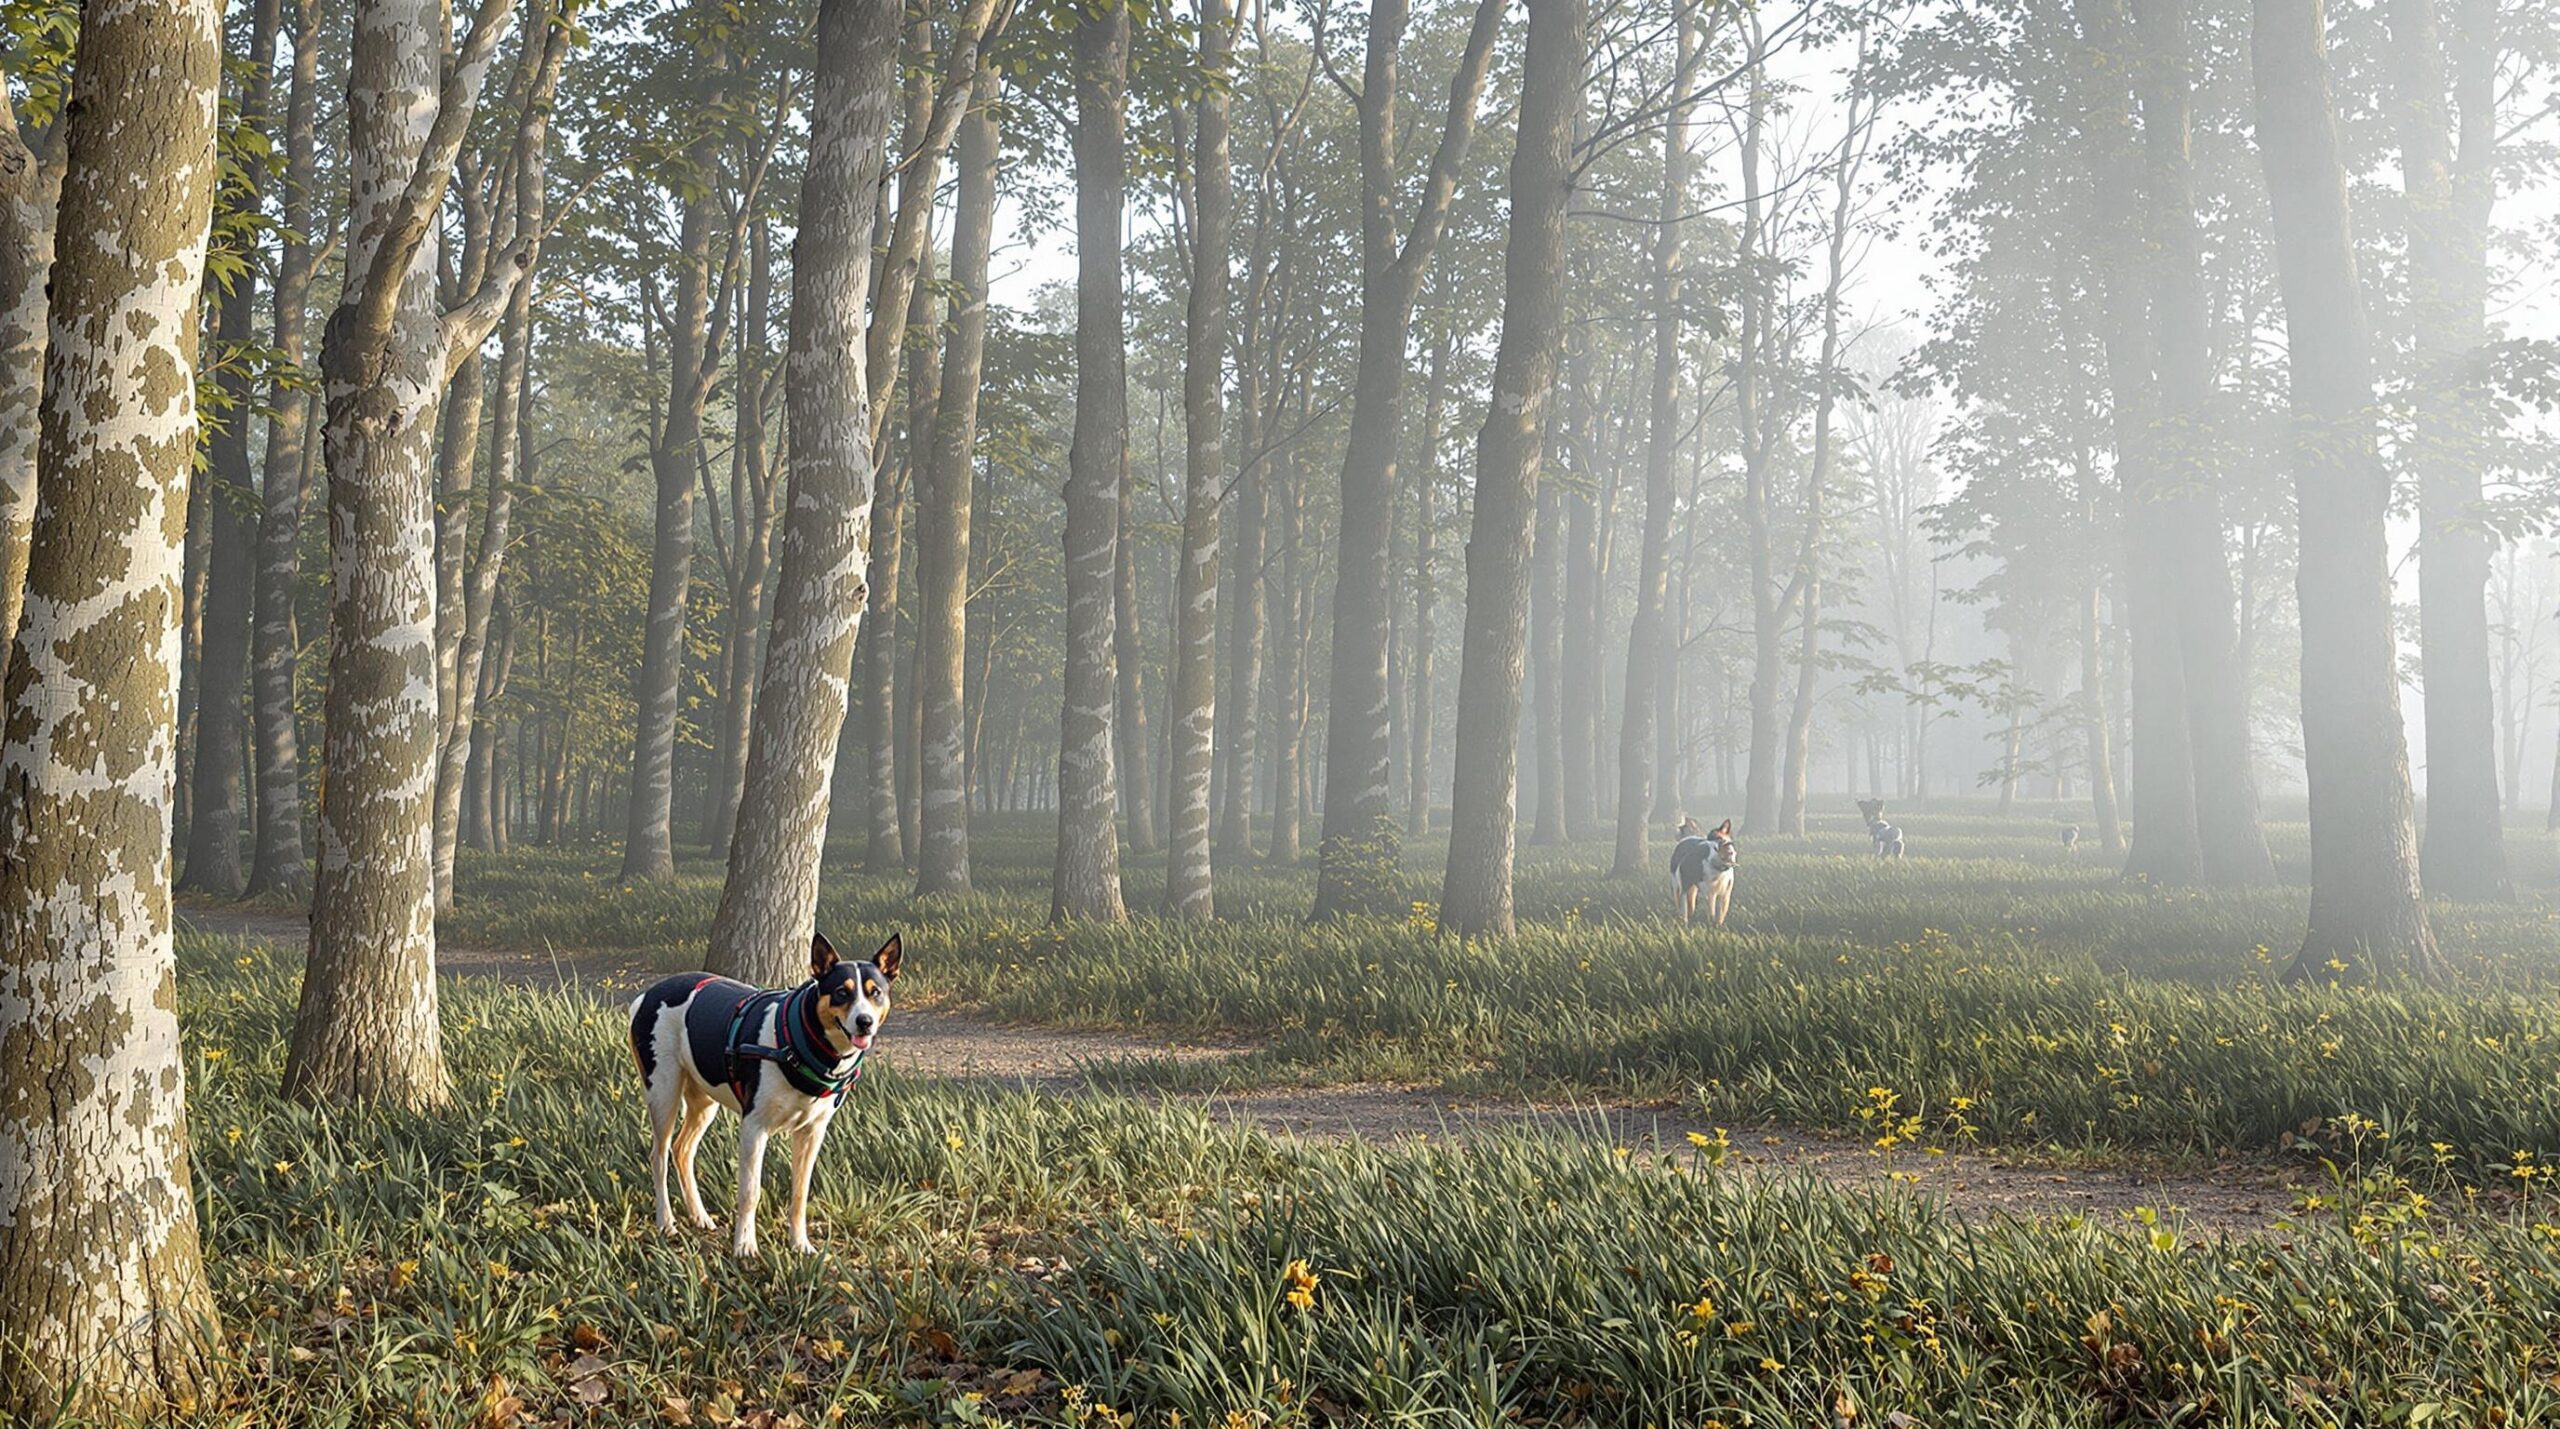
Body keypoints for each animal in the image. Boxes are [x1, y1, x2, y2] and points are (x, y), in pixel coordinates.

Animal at [627, 937, 901, 1259]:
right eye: (841, 992)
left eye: (875, 993)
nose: (864, 1021)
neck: (804, 1045)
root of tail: (648, 994)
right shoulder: (754, 1128)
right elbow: (750, 1192)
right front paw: (744, 1245)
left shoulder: (812, 1132)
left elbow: (800, 1193)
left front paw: (799, 1243)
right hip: (664, 1093)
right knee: (659, 1157)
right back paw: (666, 1222)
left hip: (704, 1101)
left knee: (682, 1150)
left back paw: (699, 1215)